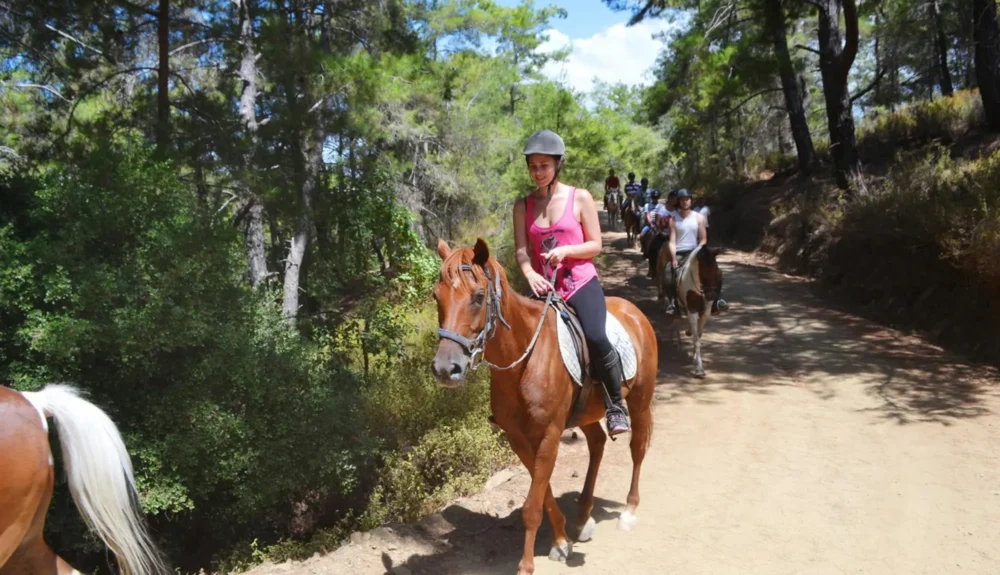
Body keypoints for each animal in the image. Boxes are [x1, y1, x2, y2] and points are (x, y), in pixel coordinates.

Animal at [431, 238, 657, 575]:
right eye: (437, 296)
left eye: (478, 296)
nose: (446, 369)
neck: (524, 362)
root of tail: (634, 312)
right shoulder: (518, 439)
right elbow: (544, 495)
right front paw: (561, 540)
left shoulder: (549, 435)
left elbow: (532, 506)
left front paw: (526, 565)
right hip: (587, 413)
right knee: (597, 443)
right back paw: (582, 518)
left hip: (640, 400)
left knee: (637, 448)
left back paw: (629, 511)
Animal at [656, 244, 723, 377]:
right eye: (702, 270)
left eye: (716, 270)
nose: (711, 296)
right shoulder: (692, 310)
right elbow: (696, 338)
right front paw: (699, 369)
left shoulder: (705, 312)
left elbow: (699, 335)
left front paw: (694, 357)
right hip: (677, 305)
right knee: (676, 321)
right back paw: (679, 343)